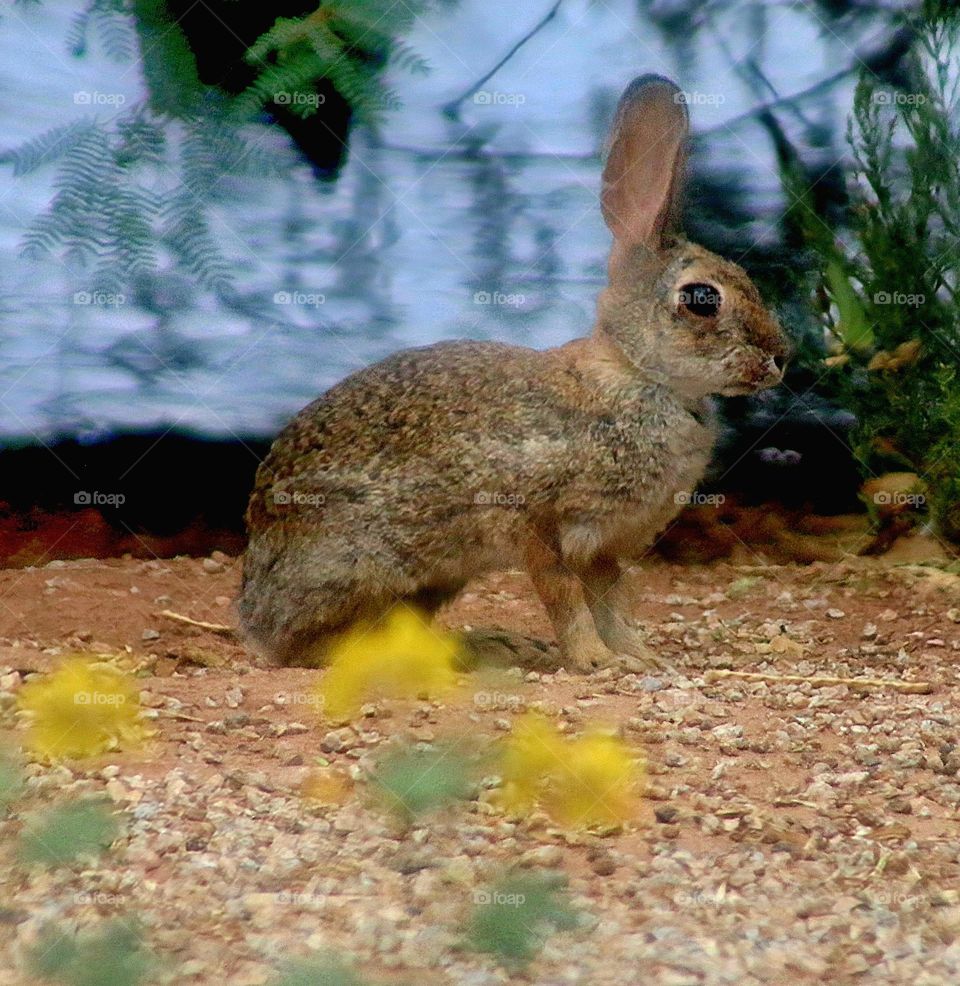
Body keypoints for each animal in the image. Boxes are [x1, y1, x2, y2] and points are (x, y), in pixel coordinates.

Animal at [239, 74, 789, 673]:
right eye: (701, 299)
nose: (781, 357)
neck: (638, 377)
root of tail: (253, 609)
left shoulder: (603, 545)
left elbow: (611, 600)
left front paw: (637, 657)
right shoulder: (536, 521)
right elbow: (564, 596)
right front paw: (593, 661)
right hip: (367, 561)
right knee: (314, 646)